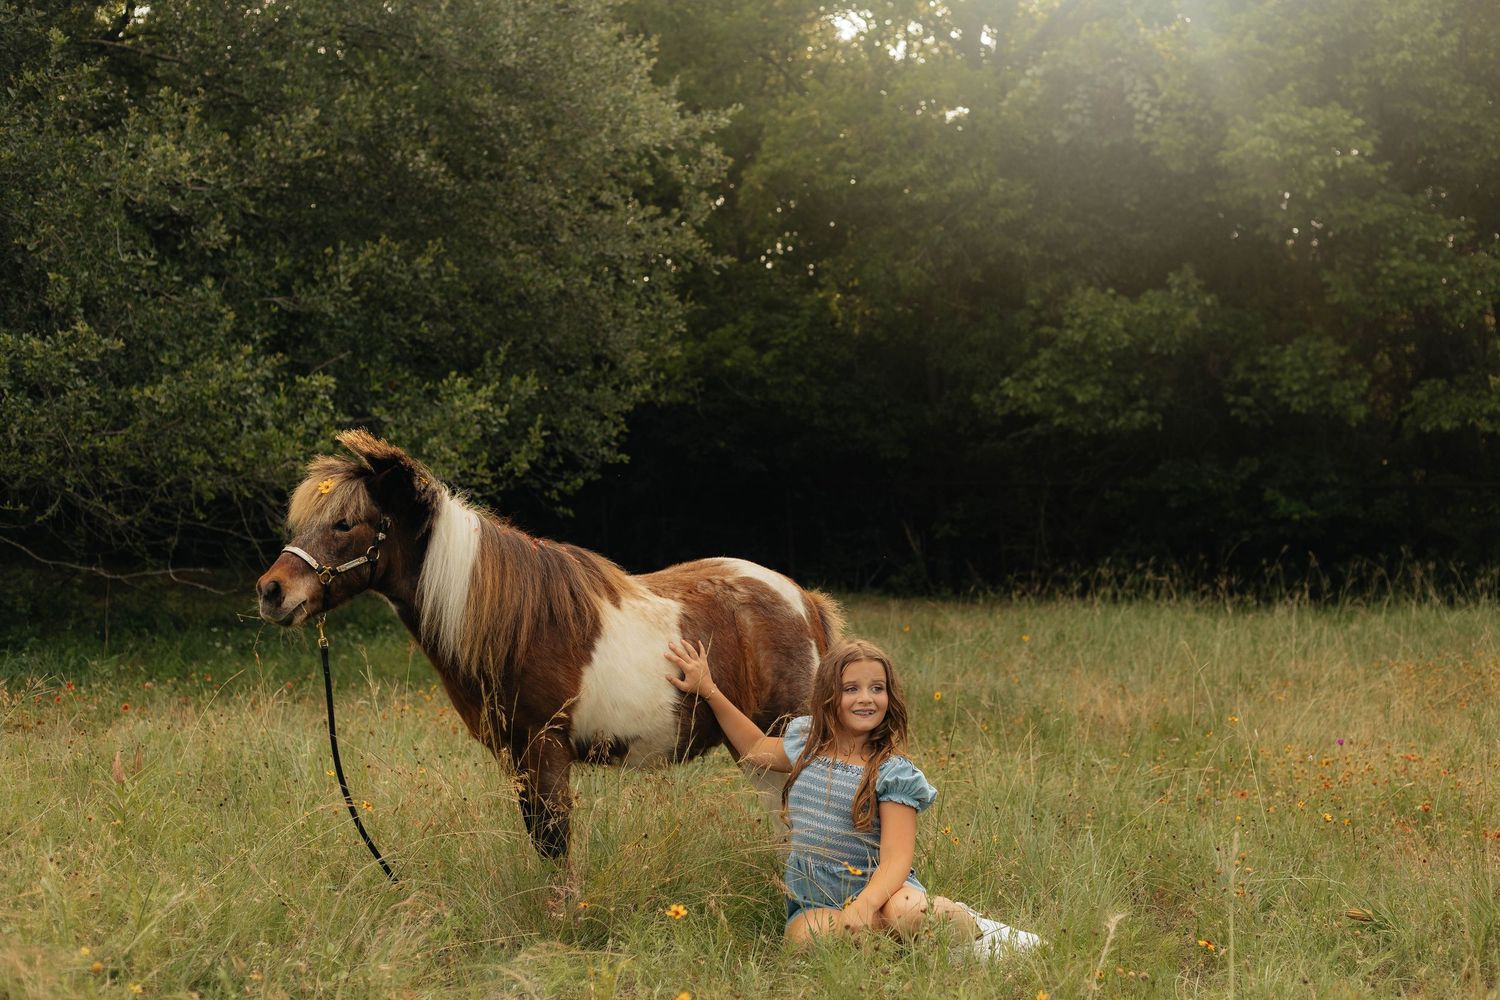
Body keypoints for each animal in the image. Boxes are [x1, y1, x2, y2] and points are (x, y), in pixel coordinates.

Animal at [255, 429, 844, 861]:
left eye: (345, 524)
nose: (271, 591)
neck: (515, 625)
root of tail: (803, 599)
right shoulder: (519, 761)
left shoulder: (546, 751)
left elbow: (556, 849)